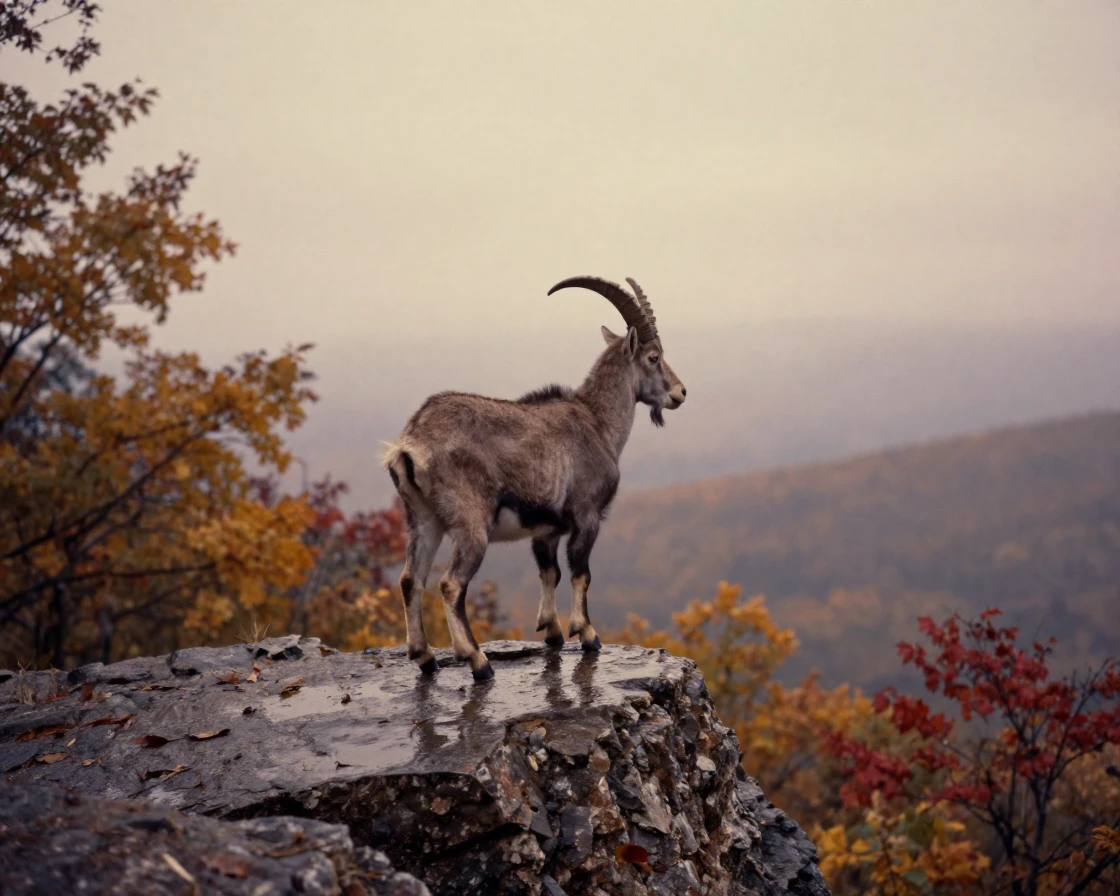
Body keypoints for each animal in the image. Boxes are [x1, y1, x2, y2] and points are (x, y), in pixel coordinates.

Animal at [382, 276, 686, 680]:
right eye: (653, 357)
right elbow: (581, 573)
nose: (680, 393)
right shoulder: (587, 516)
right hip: (470, 525)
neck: (598, 423)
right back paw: (477, 661)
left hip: (422, 519)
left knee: (410, 579)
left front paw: (552, 631)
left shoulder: (546, 530)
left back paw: (425, 657)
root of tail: (410, 443)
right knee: (450, 585)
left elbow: (549, 573)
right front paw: (587, 634)